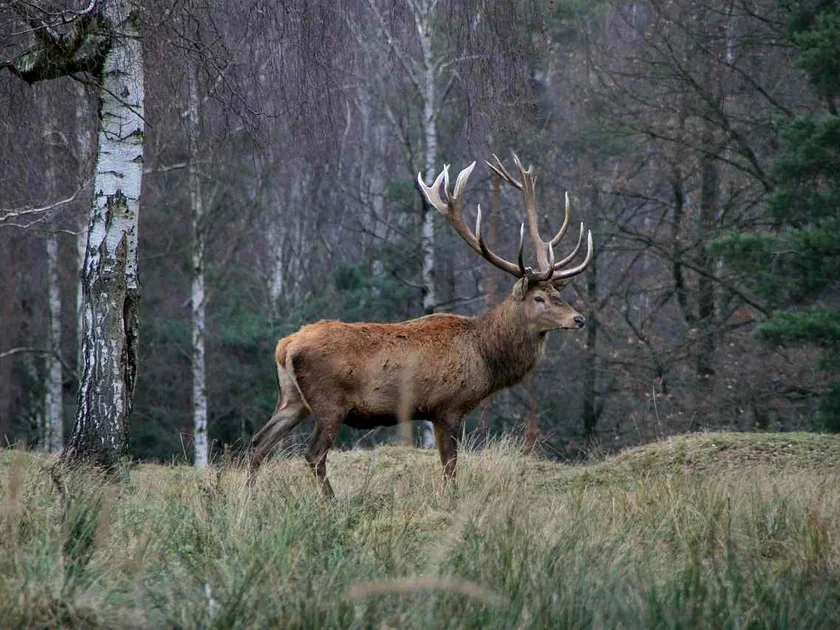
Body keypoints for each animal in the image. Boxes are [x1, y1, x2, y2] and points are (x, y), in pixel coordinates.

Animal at [248, 154, 593, 498]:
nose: (579, 319)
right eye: (539, 298)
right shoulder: (447, 406)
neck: (485, 357)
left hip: (293, 398)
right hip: (330, 401)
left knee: (258, 442)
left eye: (559, 293)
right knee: (313, 454)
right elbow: (450, 467)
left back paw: (247, 500)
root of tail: (285, 346)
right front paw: (450, 499)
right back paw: (331, 502)